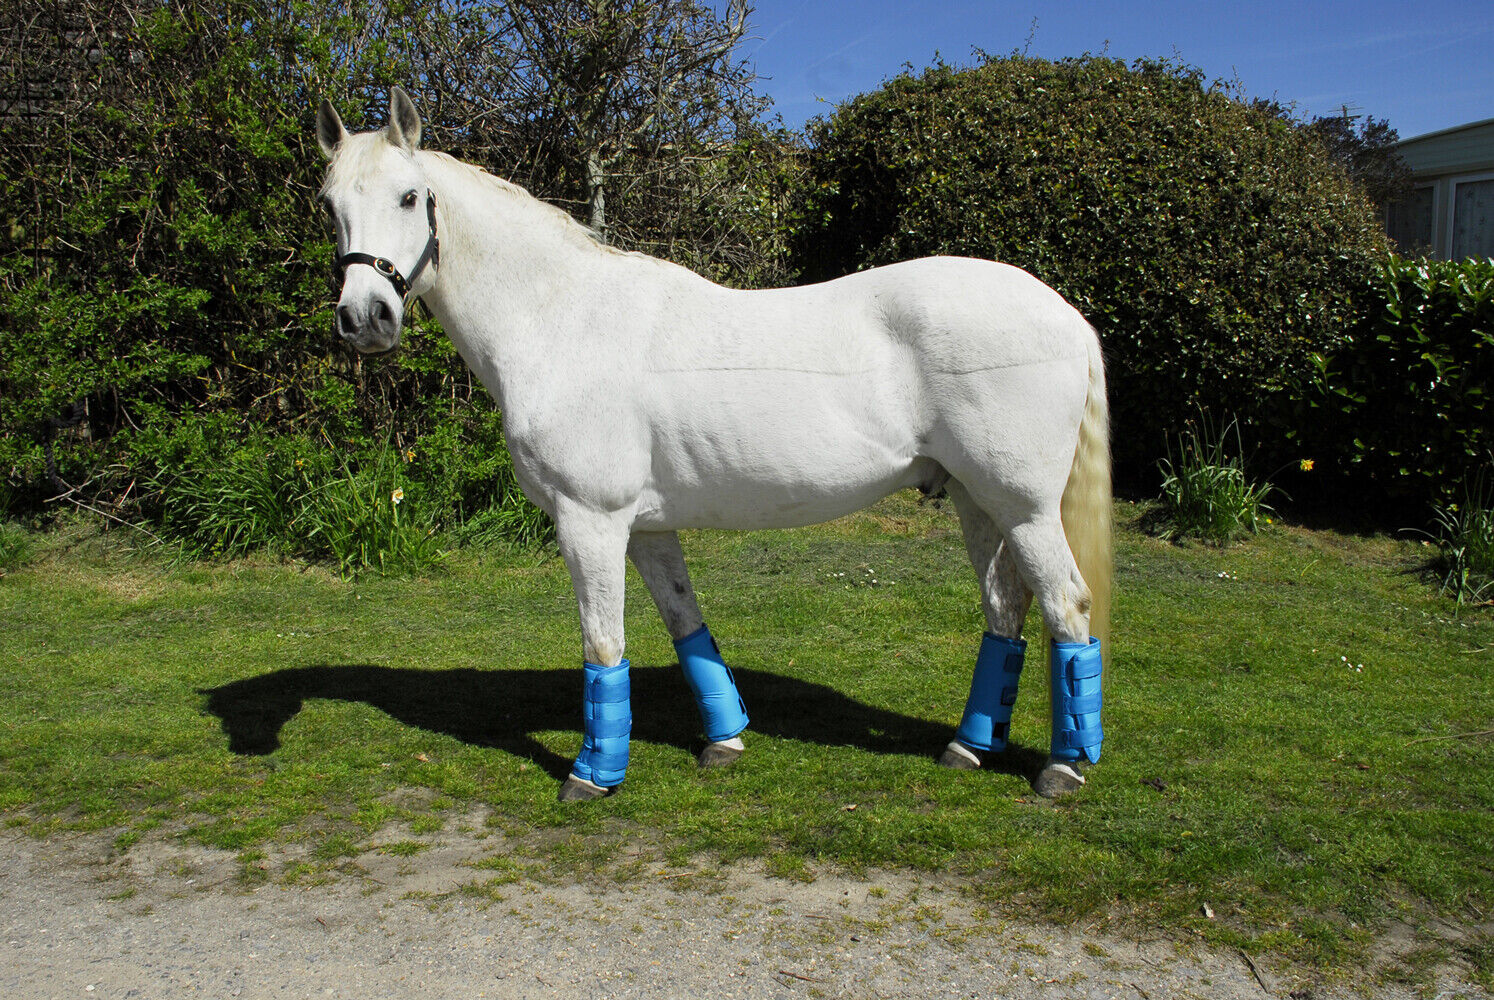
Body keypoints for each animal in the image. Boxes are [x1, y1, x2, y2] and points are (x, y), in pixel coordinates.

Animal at [315, 87, 1112, 802]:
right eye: (330, 205)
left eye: (410, 197)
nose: (365, 319)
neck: (560, 319)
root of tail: (1065, 314)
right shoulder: (645, 527)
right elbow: (685, 624)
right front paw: (724, 741)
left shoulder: (589, 522)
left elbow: (602, 644)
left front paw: (591, 776)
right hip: (977, 501)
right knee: (1005, 609)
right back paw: (968, 748)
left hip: (1024, 506)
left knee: (1067, 604)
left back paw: (1063, 769)